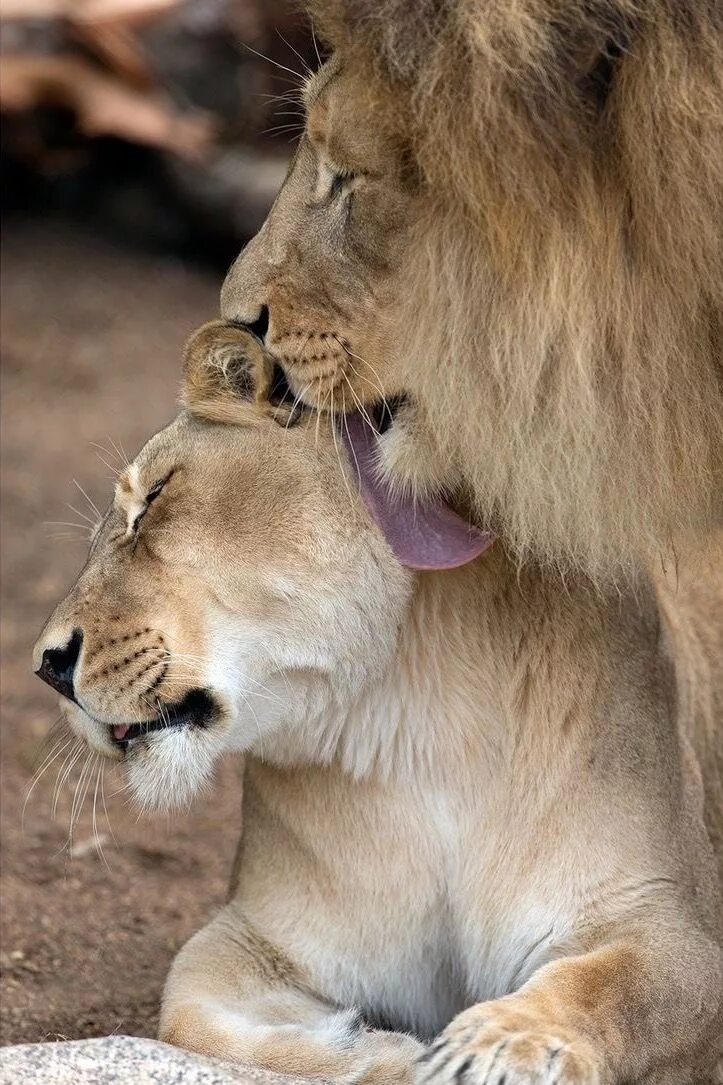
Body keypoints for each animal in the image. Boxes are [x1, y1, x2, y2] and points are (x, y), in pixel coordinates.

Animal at [33, 321, 720, 1085]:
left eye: (151, 501)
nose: (48, 666)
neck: (415, 710)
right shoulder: (262, 932)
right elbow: (187, 1008)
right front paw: (382, 1051)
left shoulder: (665, 921)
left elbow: (609, 984)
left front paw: (501, 1046)